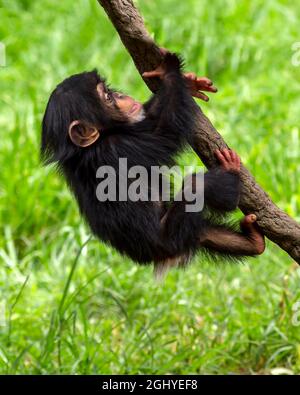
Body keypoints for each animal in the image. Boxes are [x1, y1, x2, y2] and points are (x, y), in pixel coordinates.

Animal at [42, 51, 264, 276]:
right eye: (107, 97)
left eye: (109, 91)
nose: (119, 95)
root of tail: (159, 257)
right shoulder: (123, 147)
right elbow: (164, 130)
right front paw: (169, 70)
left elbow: (153, 116)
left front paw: (189, 82)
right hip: (170, 235)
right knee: (197, 186)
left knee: (204, 232)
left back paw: (253, 242)